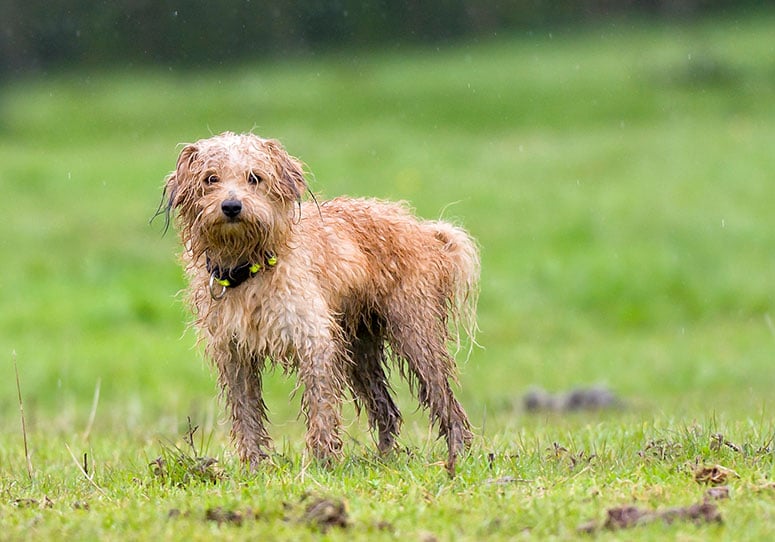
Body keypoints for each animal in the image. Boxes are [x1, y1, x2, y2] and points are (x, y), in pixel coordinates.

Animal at [160, 133, 478, 476]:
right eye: (211, 179)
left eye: (254, 178)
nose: (231, 206)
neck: (250, 266)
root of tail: (424, 230)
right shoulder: (235, 353)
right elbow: (246, 413)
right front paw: (253, 467)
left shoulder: (314, 342)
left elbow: (321, 406)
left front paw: (323, 462)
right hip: (359, 349)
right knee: (387, 410)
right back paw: (385, 461)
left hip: (415, 336)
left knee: (444, 401)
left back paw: (457, 455)